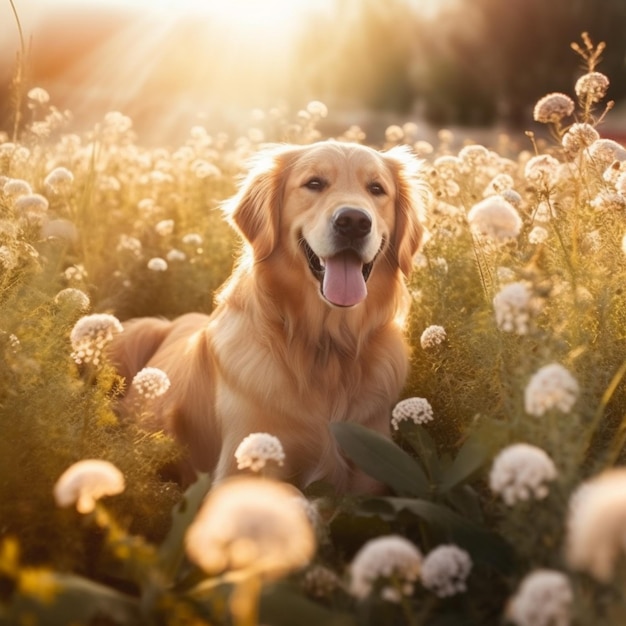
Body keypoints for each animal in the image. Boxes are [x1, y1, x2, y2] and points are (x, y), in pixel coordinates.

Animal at [107, 141, 424, 492]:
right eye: (314, 183)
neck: (326, 348)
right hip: (134, 332)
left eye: (376, 189)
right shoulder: (246, 460)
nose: (353, 221)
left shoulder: (369, 473)